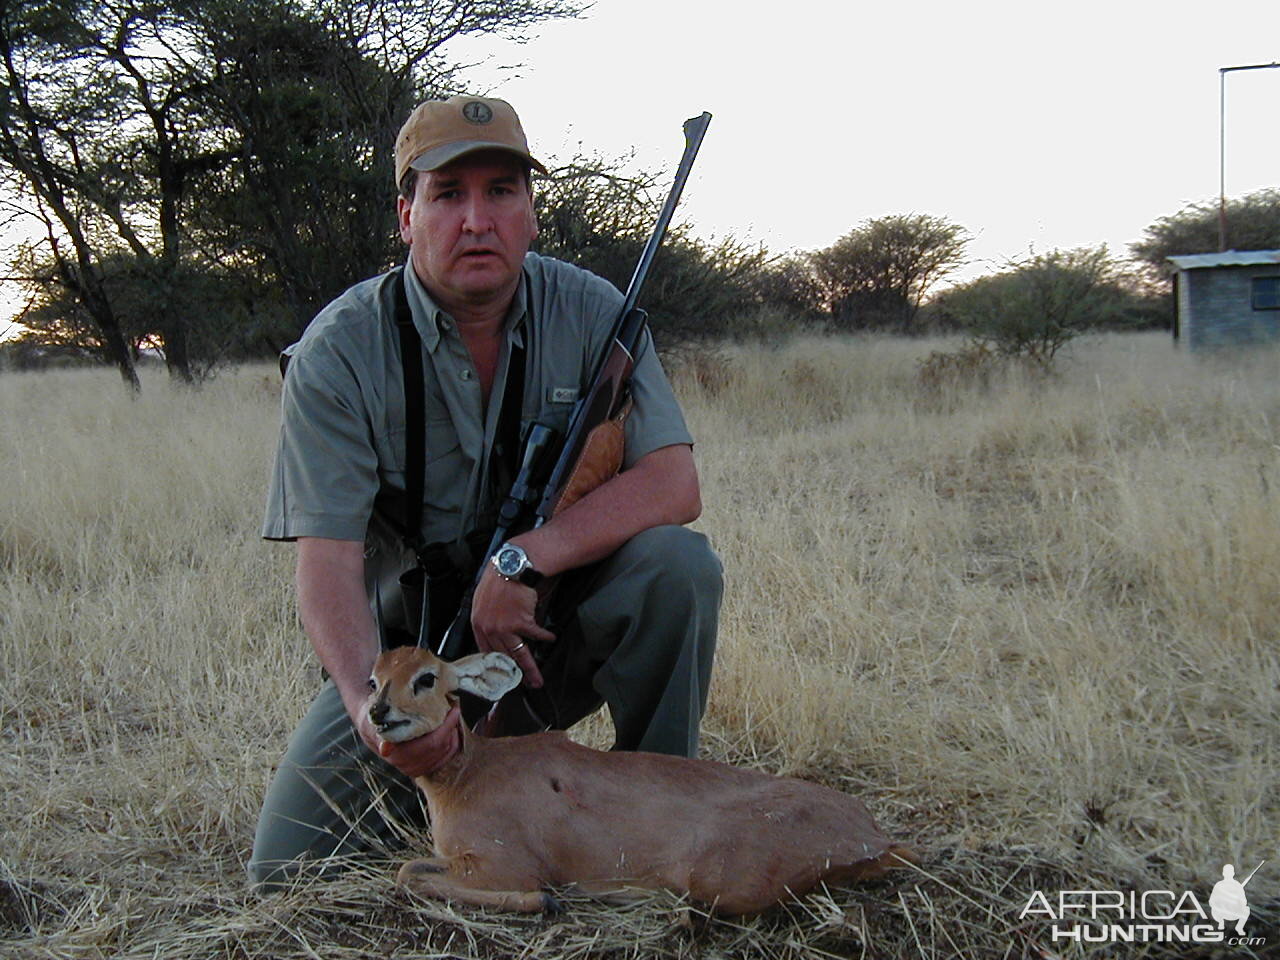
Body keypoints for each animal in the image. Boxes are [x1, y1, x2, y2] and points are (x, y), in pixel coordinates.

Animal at [366, 647, 916, 916]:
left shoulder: (505, 865)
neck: (465, 776)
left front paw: (548, 901)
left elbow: (408, 874)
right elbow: (411, 870)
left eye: (427, 677)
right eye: (373, 678)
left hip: (722, 879)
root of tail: (876, 835)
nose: (378, 711)